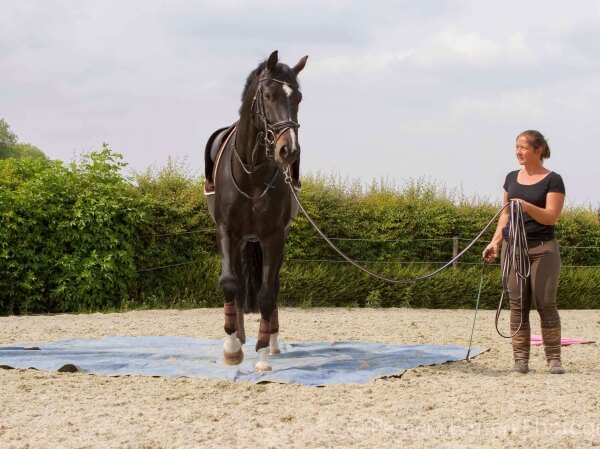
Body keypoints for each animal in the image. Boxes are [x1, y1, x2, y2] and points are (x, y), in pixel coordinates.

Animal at [205, 50, 310, 372]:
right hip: (242, 241)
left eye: (298, 97)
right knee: (238, 285)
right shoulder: (227, 231)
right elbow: (229, 284)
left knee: (272, 288)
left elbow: (266, 295)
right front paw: (231, 349)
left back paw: (272, 343)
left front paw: (262, 355)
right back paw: (238, 337)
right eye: (267, 94)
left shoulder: (273, 236)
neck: (251, 172)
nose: (289, 150)